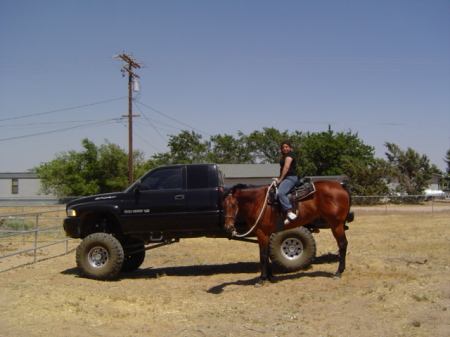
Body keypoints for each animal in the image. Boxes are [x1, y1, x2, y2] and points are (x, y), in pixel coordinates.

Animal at [221, 181, 352, 284]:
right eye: (223, 205)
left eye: (234, 204)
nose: (228, 227)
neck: (258, 201)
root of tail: (340, 186)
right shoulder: (267, 234)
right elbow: (266, 254)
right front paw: (269, 276)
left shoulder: (262, 233)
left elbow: (262, 255)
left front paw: (262, 279)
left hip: (336, 224)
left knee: (342, 244)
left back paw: (338, 272)